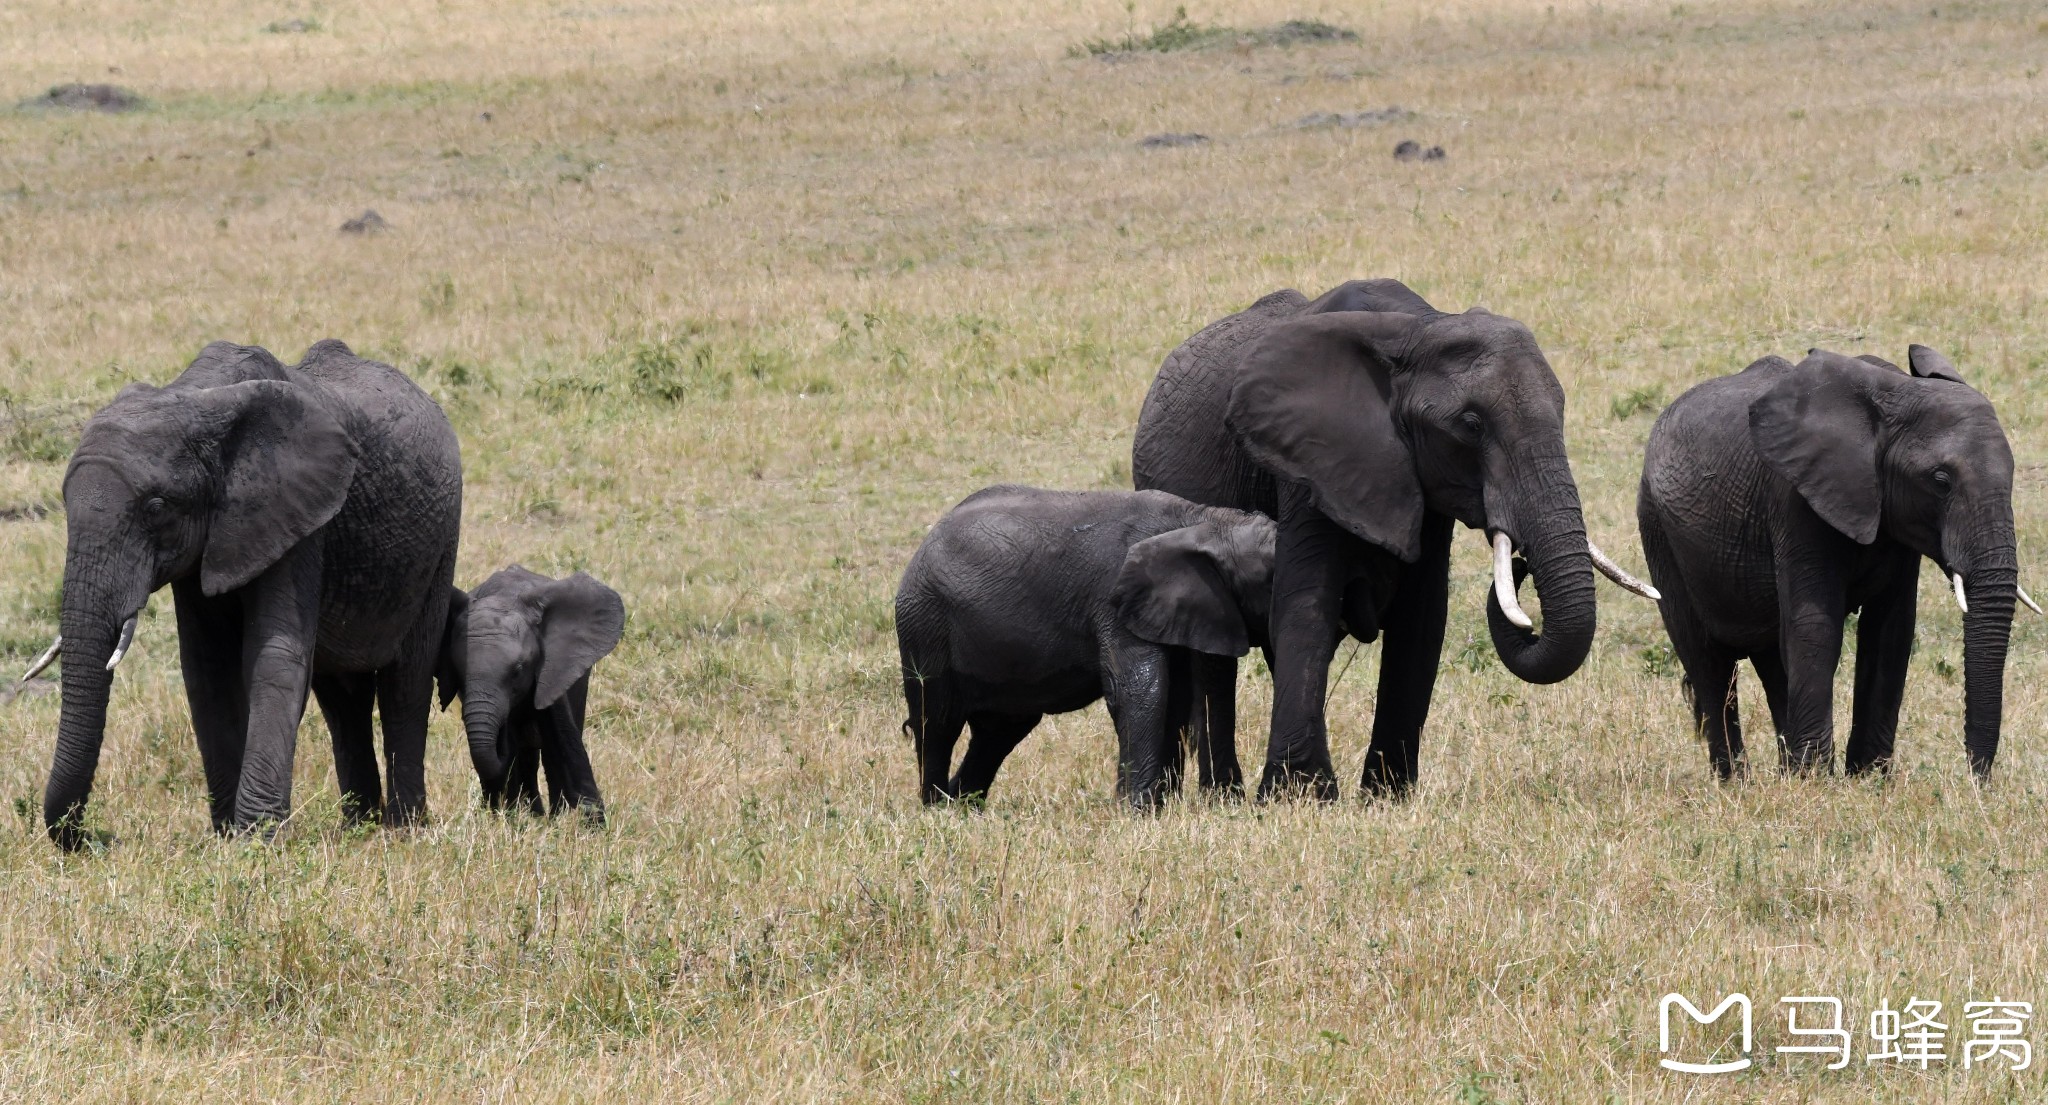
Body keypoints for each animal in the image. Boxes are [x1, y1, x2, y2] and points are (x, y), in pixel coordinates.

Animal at [27, 341, 460, 851]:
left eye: (155, 508)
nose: (94, 838)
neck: (196, 401)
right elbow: (206, 668)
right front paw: (227, 834)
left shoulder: (298, 516)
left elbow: (272, 656)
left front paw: (257, 839)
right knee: (343, 699)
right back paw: (360, 826)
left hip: (440, 544)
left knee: (405, 684)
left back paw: (404, 827)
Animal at [434, 568, 618, 818]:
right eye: (458, 673)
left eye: (518, 671)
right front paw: (509, 817)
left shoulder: (552, 668)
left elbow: (561, 736)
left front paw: (588, 820)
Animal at [901, 487, 1277, 806]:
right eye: (1270, 578)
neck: (1206, 521)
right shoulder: (1116, 602)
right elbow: (1139, 691)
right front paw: (1139, 811)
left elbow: (1175, 696)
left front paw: (1157, 807)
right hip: (924, 623)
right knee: (937, 722)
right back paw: (936, 808)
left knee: (1000, 731)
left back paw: (961, 807)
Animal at [1138, 282, 1662, 802]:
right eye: (1471, 425)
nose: (1519, 564)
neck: (1419, 328)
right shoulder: (1310, 458)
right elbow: (1307, 600)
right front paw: (1300, 796)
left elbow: (1423, 617)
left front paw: (1386, 796)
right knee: (1215, 658)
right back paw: (1223, 796)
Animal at [1630, 345, 2031, 777]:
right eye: (1940, 481)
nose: (1975, 779)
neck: (1894, 395)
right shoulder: (1795, 499)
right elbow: (1815, 626)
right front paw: (1817, 781)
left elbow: (1889, 631)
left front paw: (1867, 779)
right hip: (1658, 530)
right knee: (1709, 663)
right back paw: (1737, 781)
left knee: (1772, 661)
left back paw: (1785, 771)